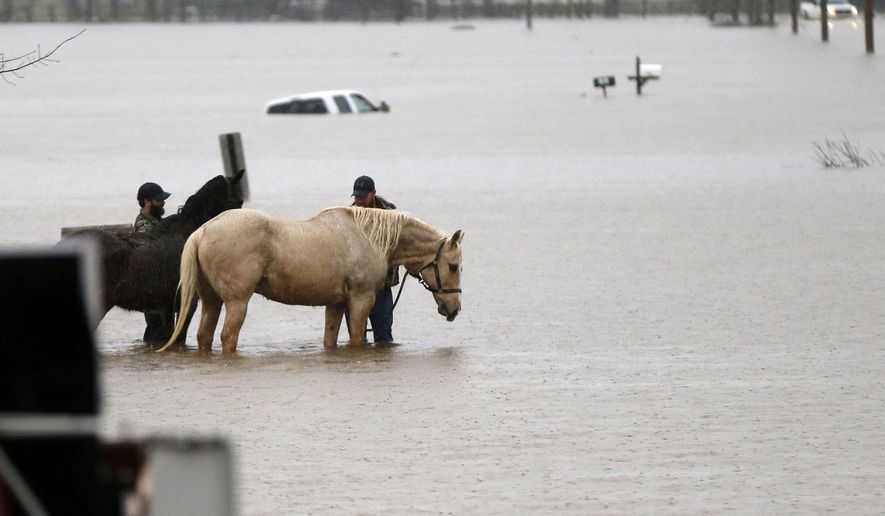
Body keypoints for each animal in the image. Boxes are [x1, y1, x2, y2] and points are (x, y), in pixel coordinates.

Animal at [158, 207, 464, 353]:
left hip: (211, 301)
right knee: (227, 337)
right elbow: (356, 338)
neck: (368, 237)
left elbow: (330, 339)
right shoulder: (361, 300)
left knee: (205, 336)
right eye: (453, 265)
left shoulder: (336, 304)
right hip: (237, 302)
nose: (454, 309)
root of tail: (204, 230)